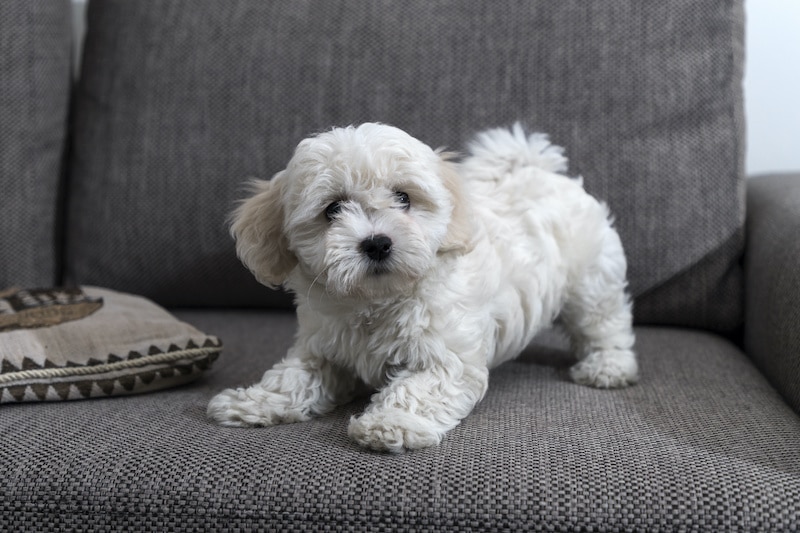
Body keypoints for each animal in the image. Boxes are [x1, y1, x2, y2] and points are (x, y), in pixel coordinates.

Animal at [206, 122, 636, 450]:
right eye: (333, 209)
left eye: (403, 197)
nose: (377, 243)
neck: (377, 301)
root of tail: (541, 170)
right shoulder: (320, 347)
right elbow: (292, 378)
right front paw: (253, 402)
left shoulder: (446, 357)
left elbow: (417, 390)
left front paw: (391, 423)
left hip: (591, 281)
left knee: (604, 325)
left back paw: (607, 366)